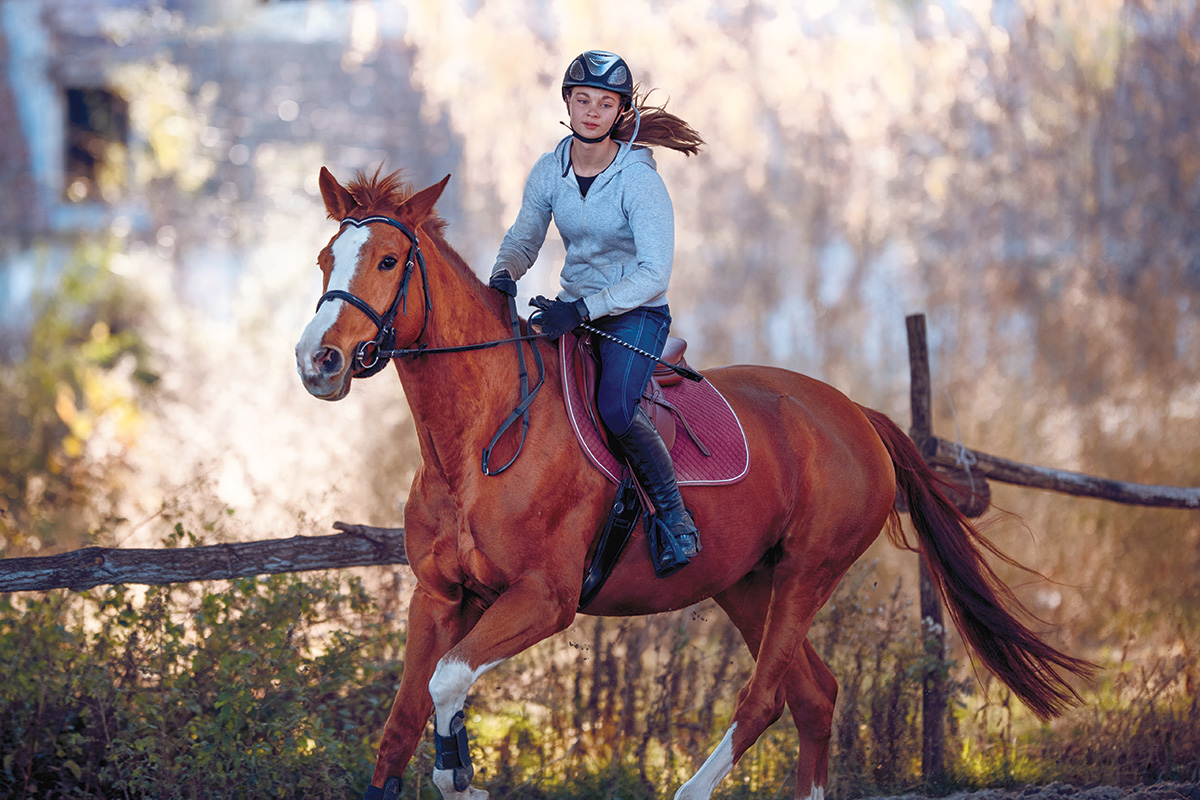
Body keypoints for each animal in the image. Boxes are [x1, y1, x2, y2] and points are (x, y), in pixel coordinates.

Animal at [292, 165, 1099, 796]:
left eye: (389, 260)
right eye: (327, 258)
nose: (318, 362)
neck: (475, 443)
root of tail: (854, 414)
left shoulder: (544, 599)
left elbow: (448, 683)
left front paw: (461, 776)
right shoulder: (439, 597)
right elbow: (403, 722)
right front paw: (446, 765)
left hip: (807, 572)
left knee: (763, 701)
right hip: (745, 582)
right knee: (815, 696)